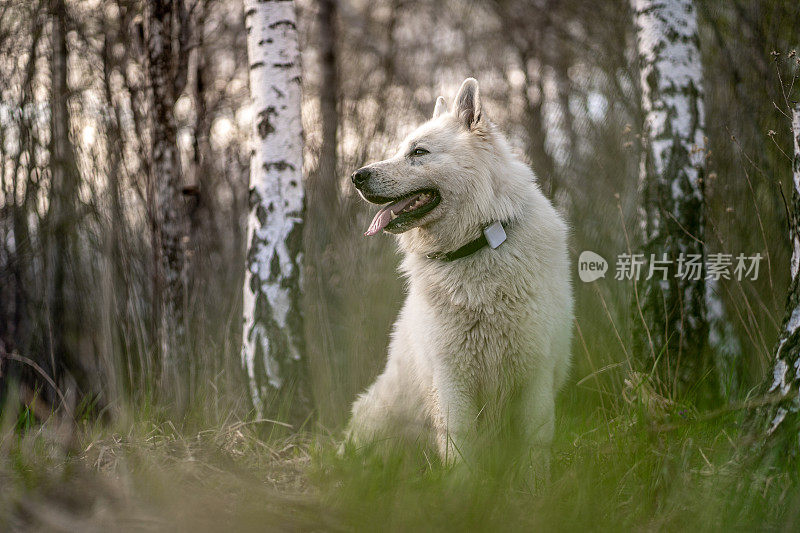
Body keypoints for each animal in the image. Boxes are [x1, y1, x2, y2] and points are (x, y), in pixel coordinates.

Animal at [346, 77, 572, 468]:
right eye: (401, 150)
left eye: (418, 152)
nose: (357, 176)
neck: (476, 245)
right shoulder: (451, 381)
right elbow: (460, 454)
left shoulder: (536, 375)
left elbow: (534, 450)